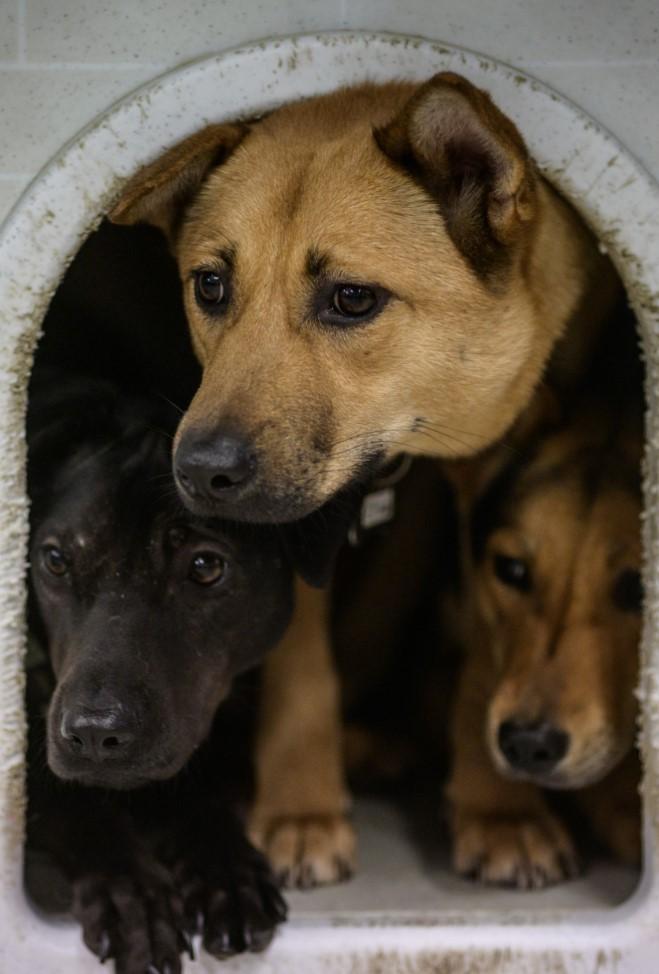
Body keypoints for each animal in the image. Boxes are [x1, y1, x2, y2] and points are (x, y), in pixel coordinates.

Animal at [25, 374, 294, 974]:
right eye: (55, 560)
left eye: (205, 566)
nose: (95, 735)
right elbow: (71, 803)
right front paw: (131, 893)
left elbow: (198, 794)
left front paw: (224, 872)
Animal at [108, 72, 620, 888]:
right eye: (210, 286)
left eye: (352, 299)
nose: (198, 469)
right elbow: (302, 663)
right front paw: (301, 809)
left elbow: (491, 639)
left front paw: (499, 811)